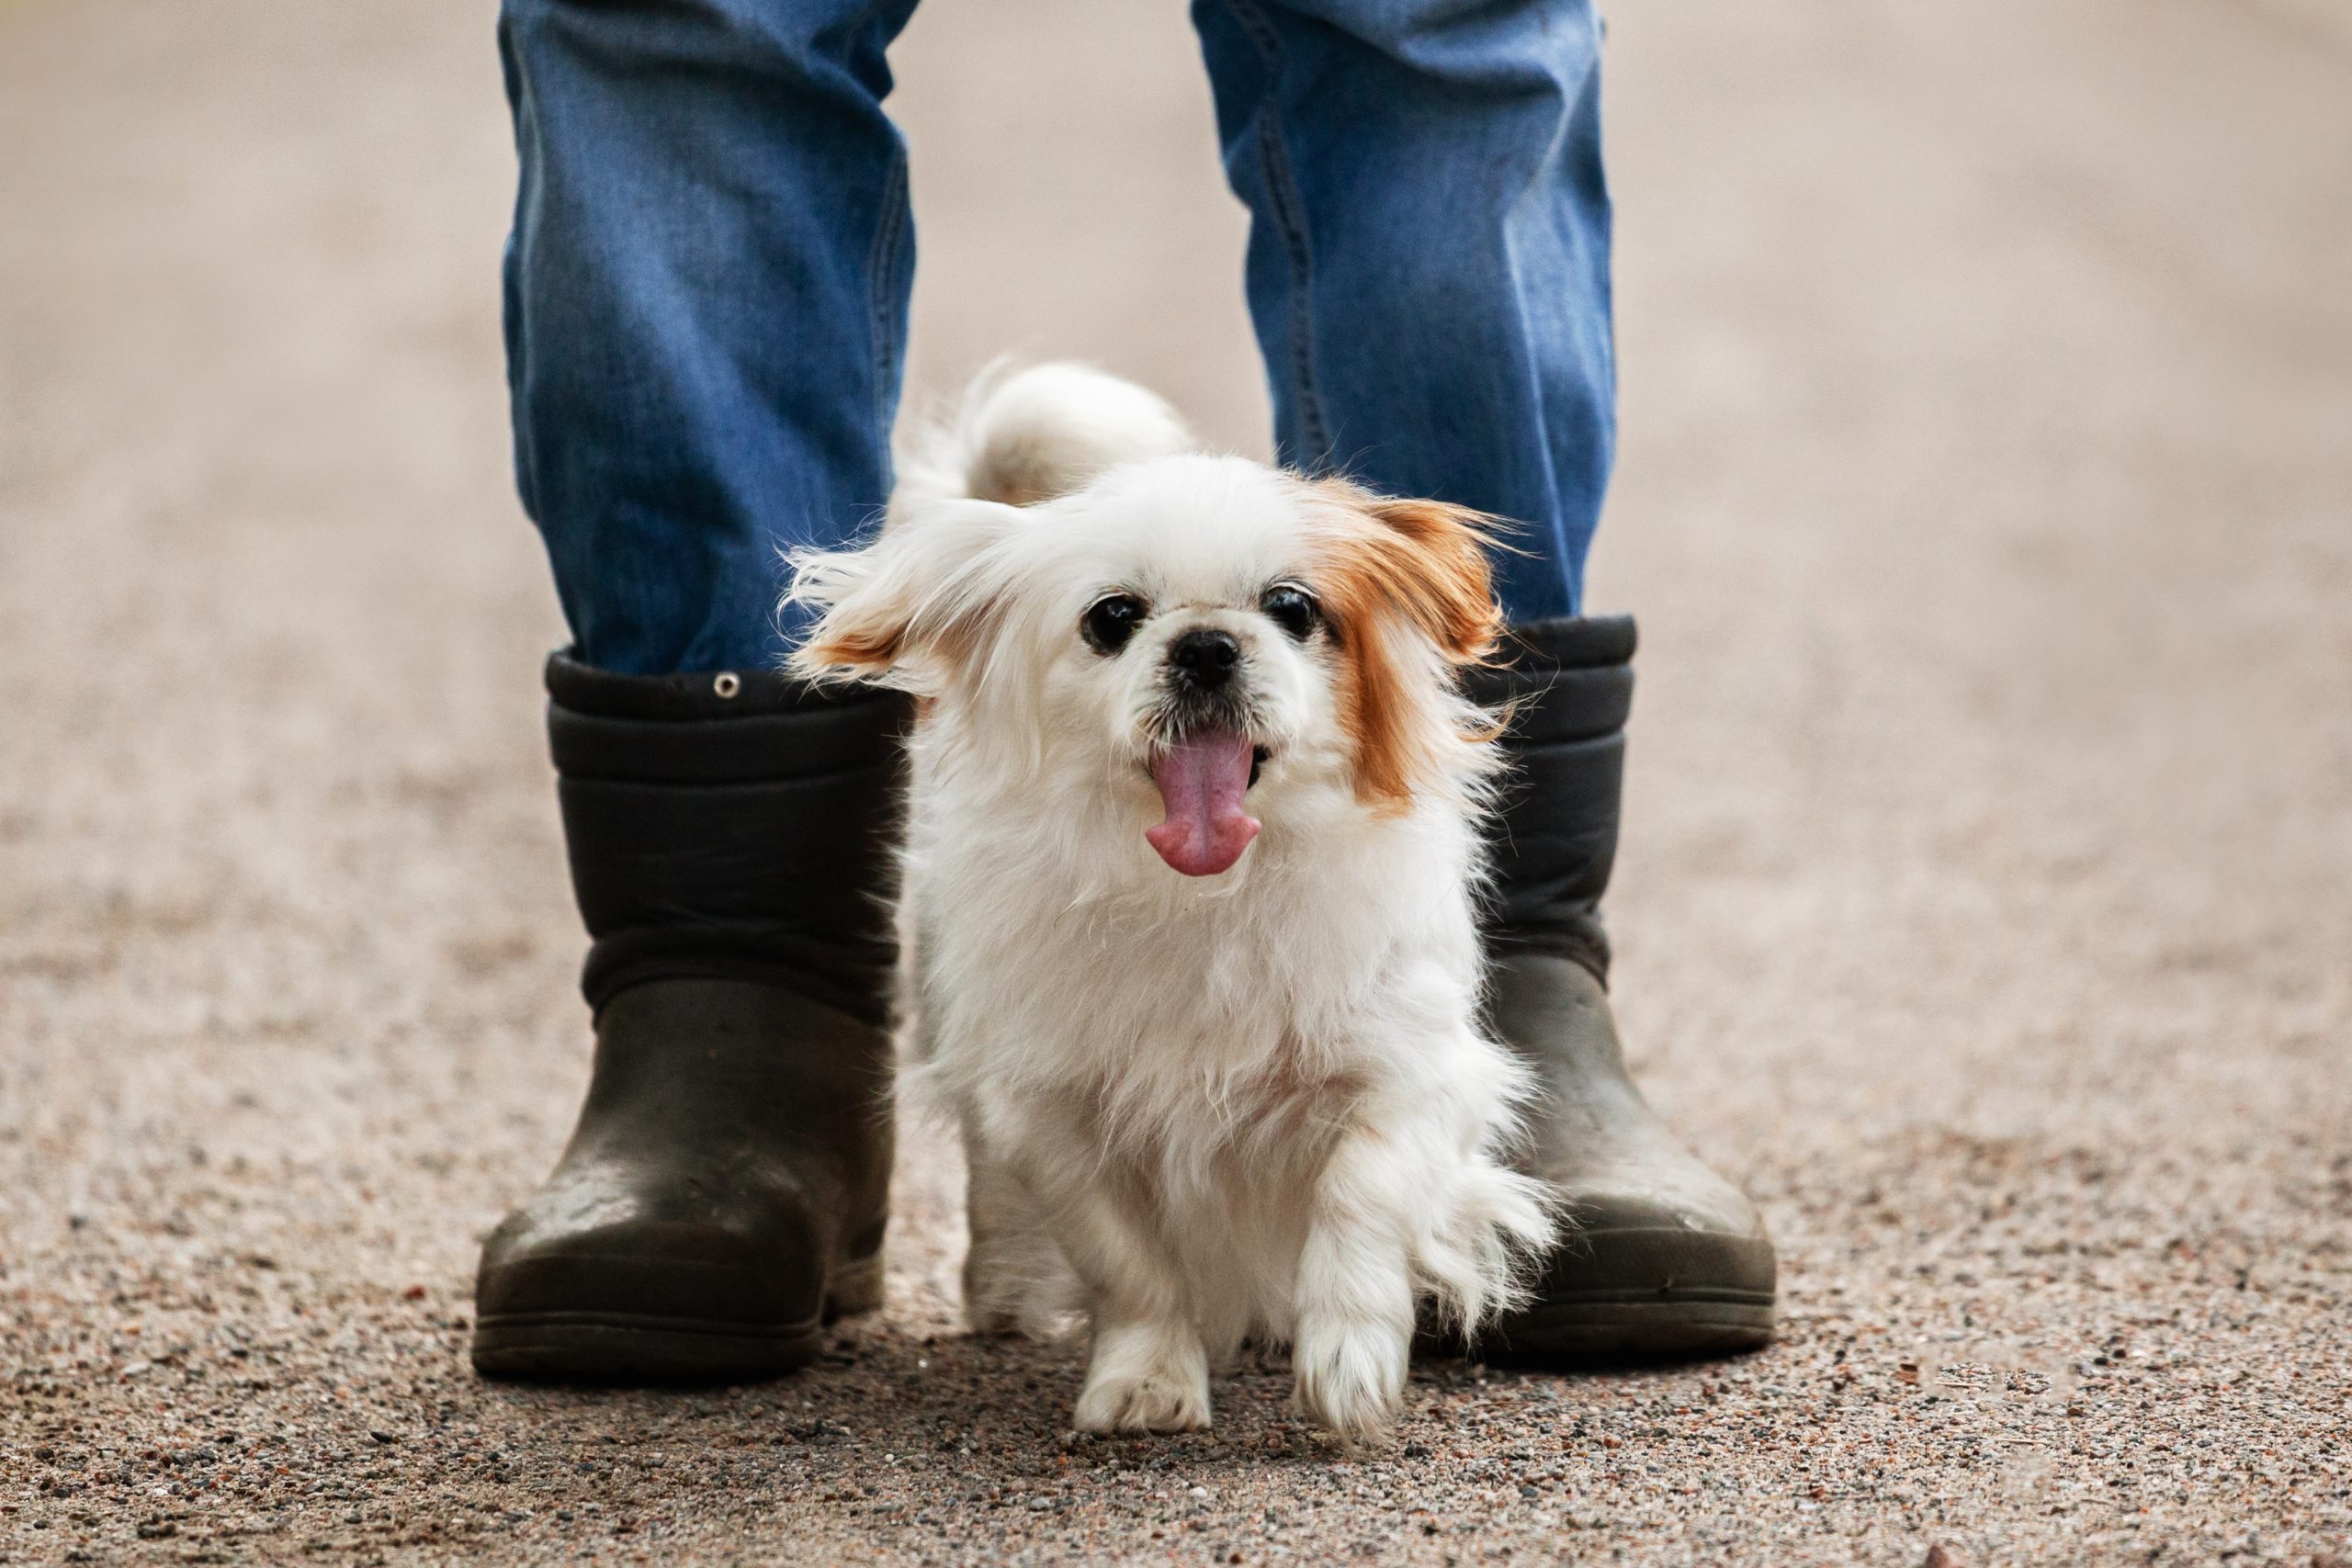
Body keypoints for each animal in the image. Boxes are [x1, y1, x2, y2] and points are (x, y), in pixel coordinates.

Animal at [795, 364, 1561, 1438]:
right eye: (1113, 618)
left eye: (1292, 607)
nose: (1204, 644)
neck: (1201, 896)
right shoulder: (1054, 1112)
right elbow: (1129, 1261)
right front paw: (1148, 1380)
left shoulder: (1410, 1073)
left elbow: (1358, 1198)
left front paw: (1348, 1360)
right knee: (993, 1189)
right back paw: (1004, 1292)